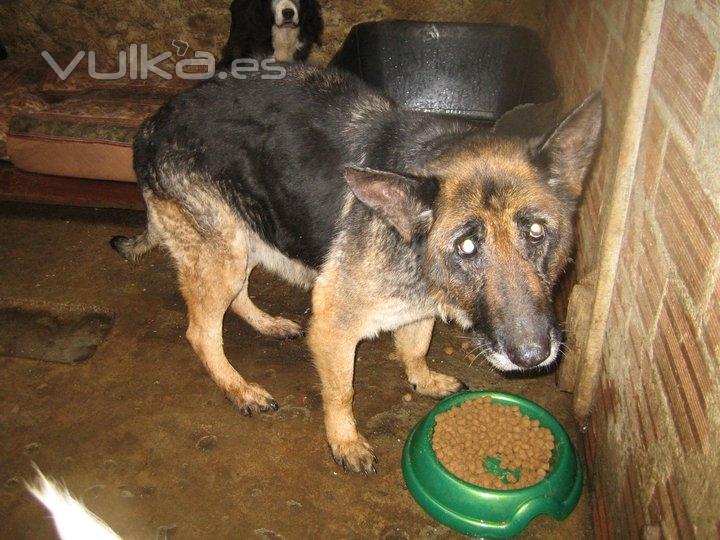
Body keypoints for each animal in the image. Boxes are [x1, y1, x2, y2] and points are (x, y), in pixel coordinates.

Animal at [112, 64, 604, 472]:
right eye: (466, 247)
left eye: (536, 233)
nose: (532, 355)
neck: (414, 250)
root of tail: (152, 123)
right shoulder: (334, 325)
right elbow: (342, 390)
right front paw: (344, 441)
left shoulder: (417, 307)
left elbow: (416, 347)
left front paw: (422, 379)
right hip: (224, 251)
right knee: (201, 331)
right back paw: (239, 388)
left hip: (244, 238)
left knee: (237, 298)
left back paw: (267, 324)